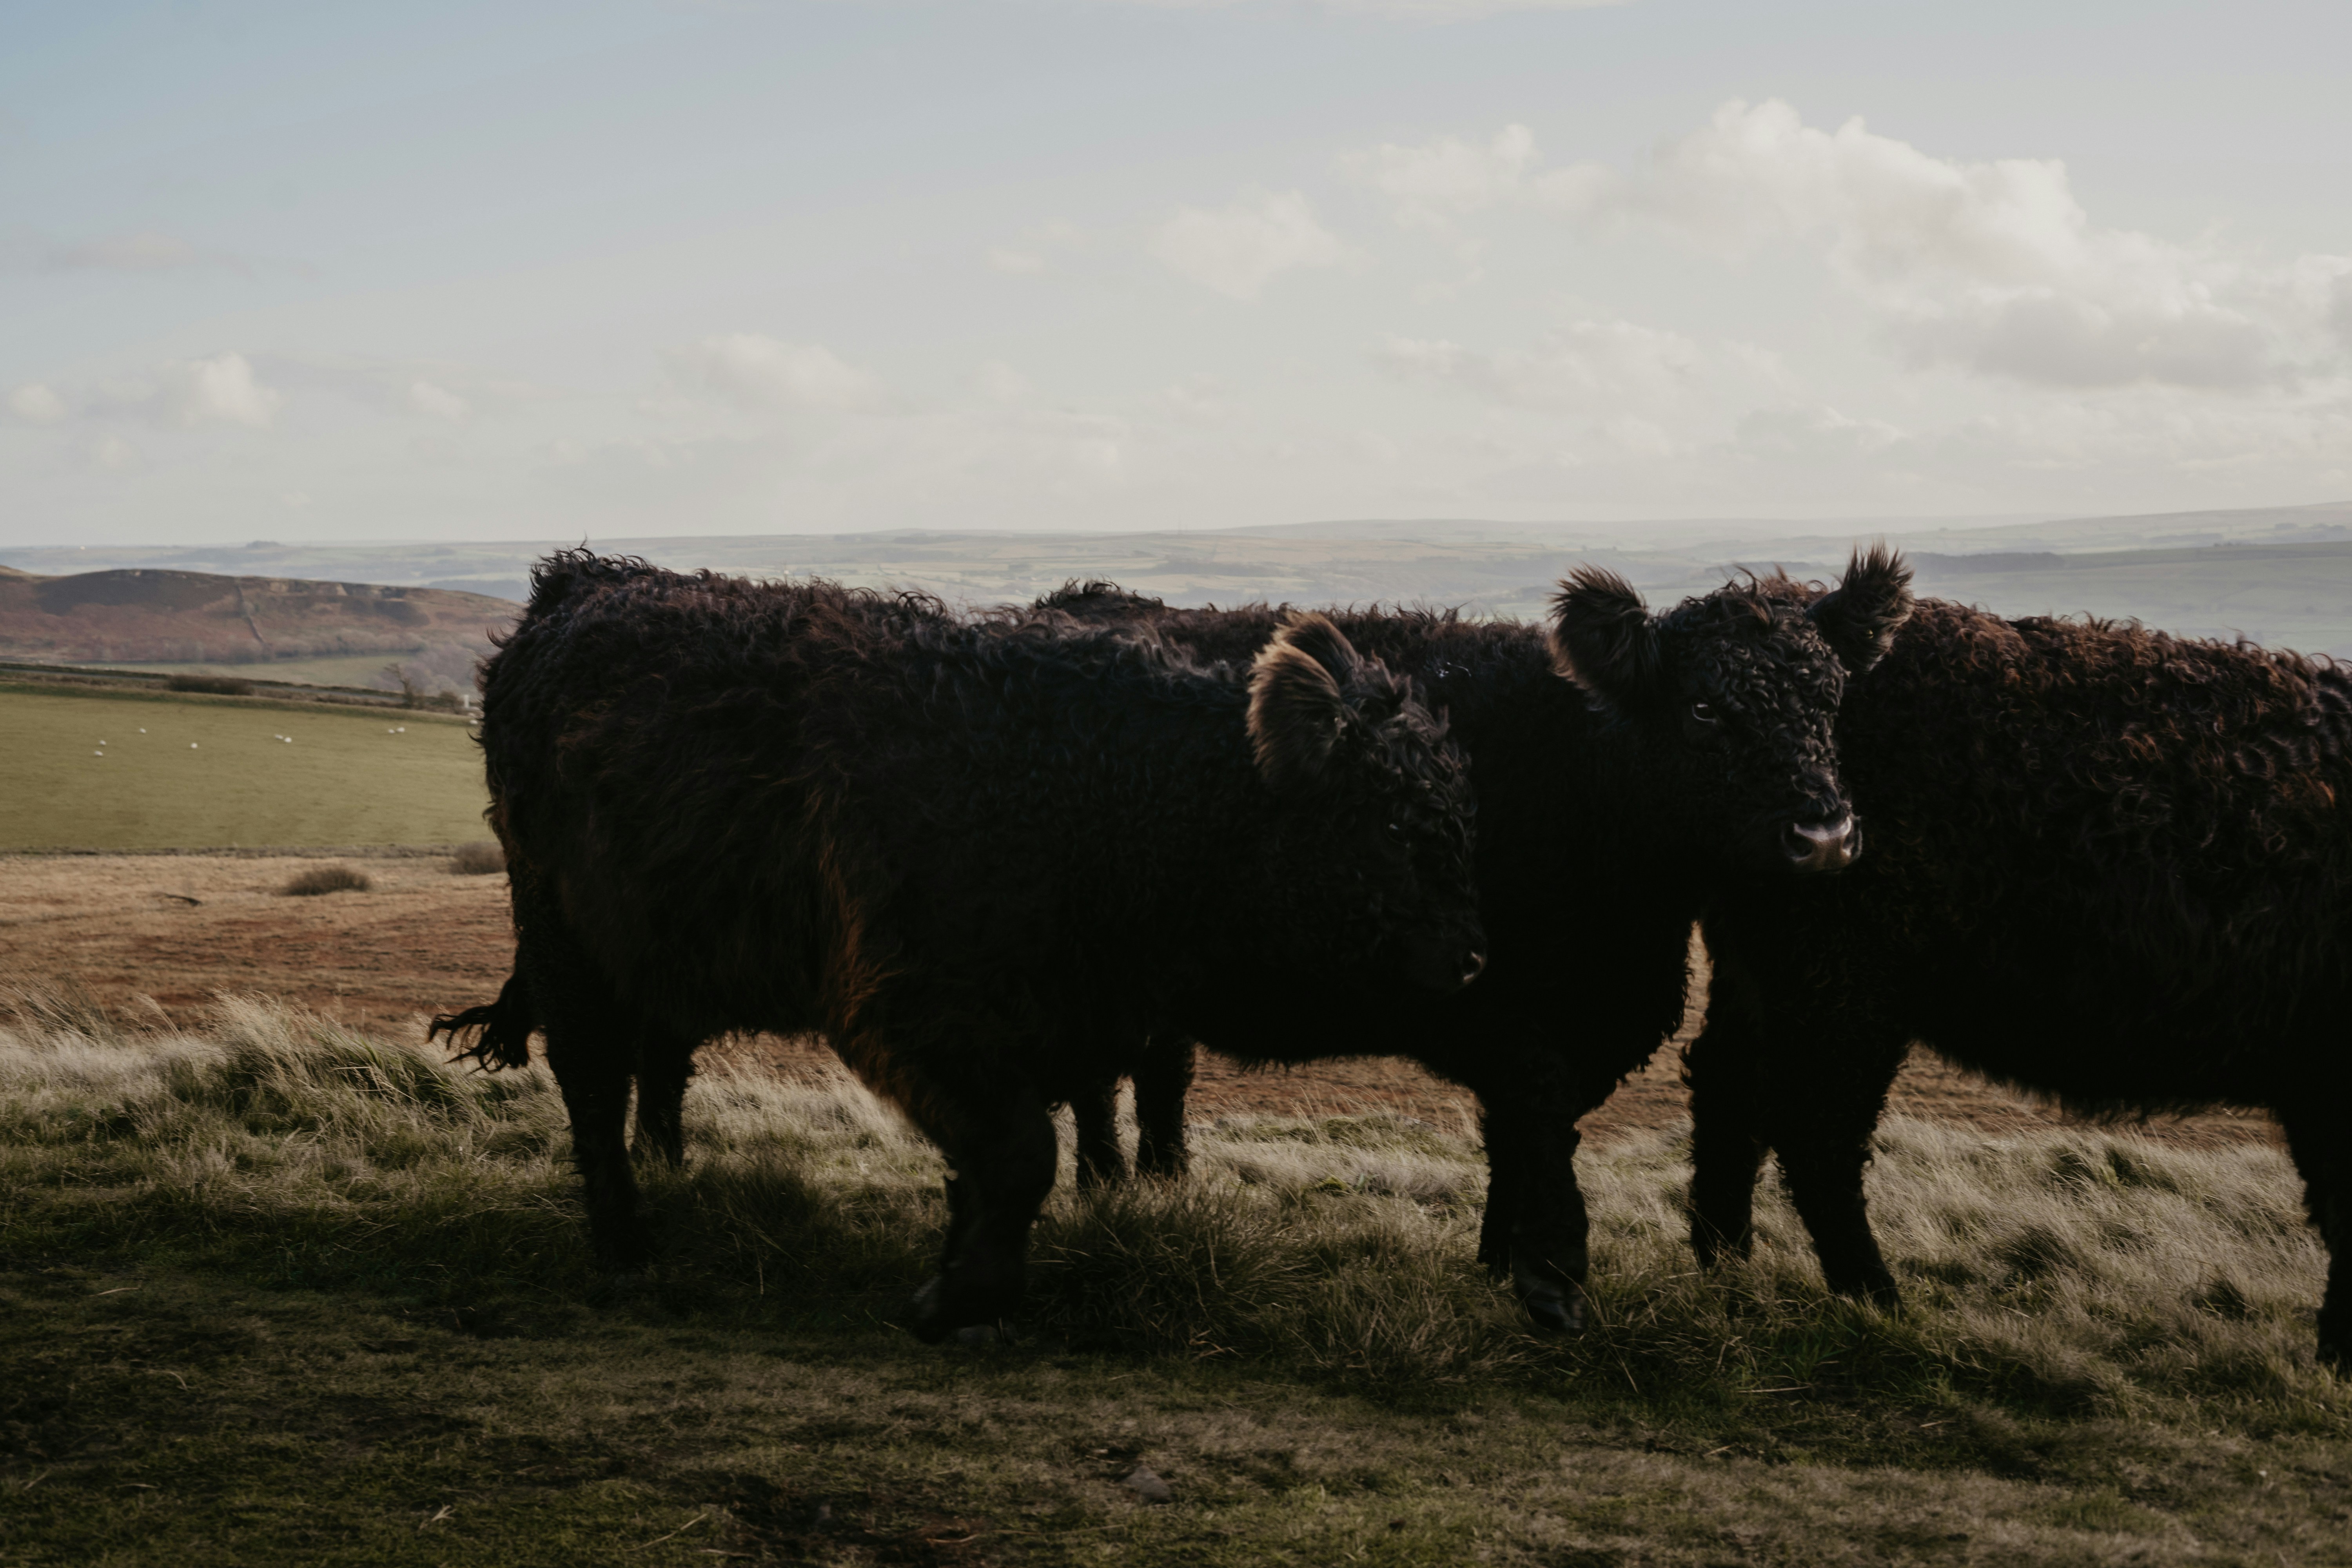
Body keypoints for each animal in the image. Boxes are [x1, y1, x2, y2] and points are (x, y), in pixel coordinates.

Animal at [430, 551, 1487, 1343]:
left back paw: (670, 1173)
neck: (1099, 787)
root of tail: (581, 582)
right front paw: (956, 1298)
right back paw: (625, 1243)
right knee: (591, 1080)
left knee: (658, 1063)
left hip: (662, 948)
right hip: (567, 943)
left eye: (1452, 811)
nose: (1473, 961)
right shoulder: (911, 1010)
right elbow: (1022, 1156)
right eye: (1395, 829)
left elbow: (1007, 1163)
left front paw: (964, 1273)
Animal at [1039, 551, 1916, 1329]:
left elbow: (1515, 1152)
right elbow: (1536, 1145)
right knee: (1097, 1080)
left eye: (1832, 700)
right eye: (1704, 708)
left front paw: (1497, 1263)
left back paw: (1149, 1187)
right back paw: (1106, 1189)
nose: (1825, 834)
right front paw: (1544, 1279)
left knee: (1149, 1071)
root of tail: (1080, 594)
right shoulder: (1507, 1022)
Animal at [1683, 594, 2352, 1367]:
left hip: (1768, 978)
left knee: (1730, 1091)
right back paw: (1877, 1304)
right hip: (1839, 987)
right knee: (1815, 1132)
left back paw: (1728, 1274)